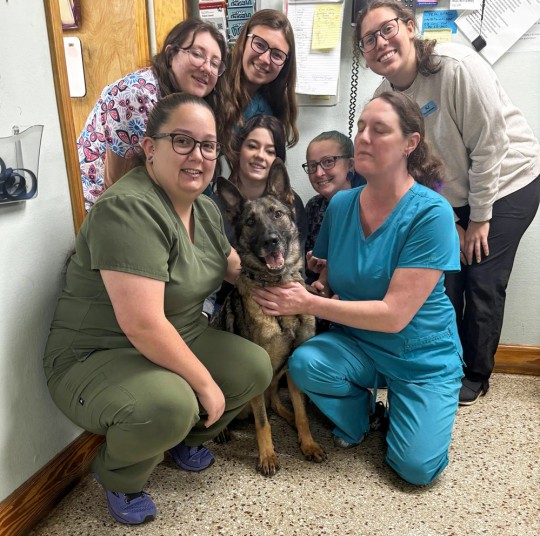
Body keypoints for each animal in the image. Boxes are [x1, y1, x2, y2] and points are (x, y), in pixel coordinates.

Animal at [211, 159, 326, 476]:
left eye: (277, 214)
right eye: (250, 222)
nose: (270, 241)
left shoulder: (294, 366)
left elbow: (301, 413)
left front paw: (307, 443)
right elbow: (262, 424)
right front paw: (267, 456)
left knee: (276, 402)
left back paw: (287, 417)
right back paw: (222, 431)